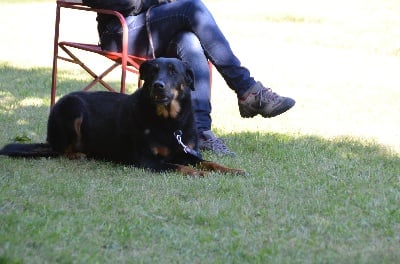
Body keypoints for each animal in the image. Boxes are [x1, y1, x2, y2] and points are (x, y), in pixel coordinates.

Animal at [0, 58, 244, 177]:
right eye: (153, 71)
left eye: (173, 71)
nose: (158, 85)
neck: (169, 122)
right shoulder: (147, 161)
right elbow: (178, 167)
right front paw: (197, 173)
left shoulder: (186, 152)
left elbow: (210, 162)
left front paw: (232, 170)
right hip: (72, 107)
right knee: (61, 151)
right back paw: (77, 155)